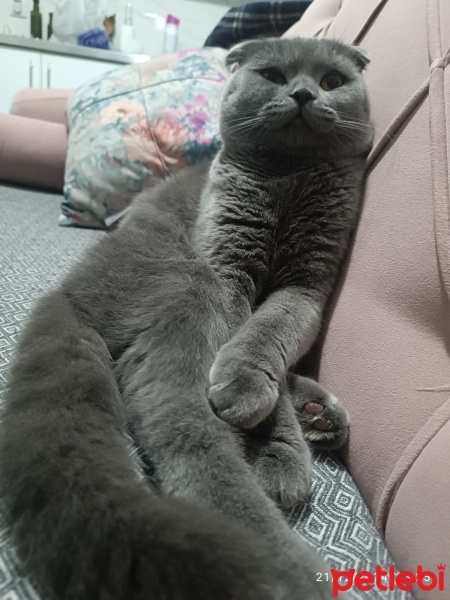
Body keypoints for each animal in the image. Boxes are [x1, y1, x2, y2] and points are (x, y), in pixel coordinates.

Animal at [0, 37, 372, 600]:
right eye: (272, 74)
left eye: (332, 81)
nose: (304, 94)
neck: (288, 178)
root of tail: (66, 292)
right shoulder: (226, 270)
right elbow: (250, 347)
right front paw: (274, 445)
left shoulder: (308, 284)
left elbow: (271, 332)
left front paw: (277, 420)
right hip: (190, 284)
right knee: (177, 419)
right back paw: (275, 559)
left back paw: (320, 415)